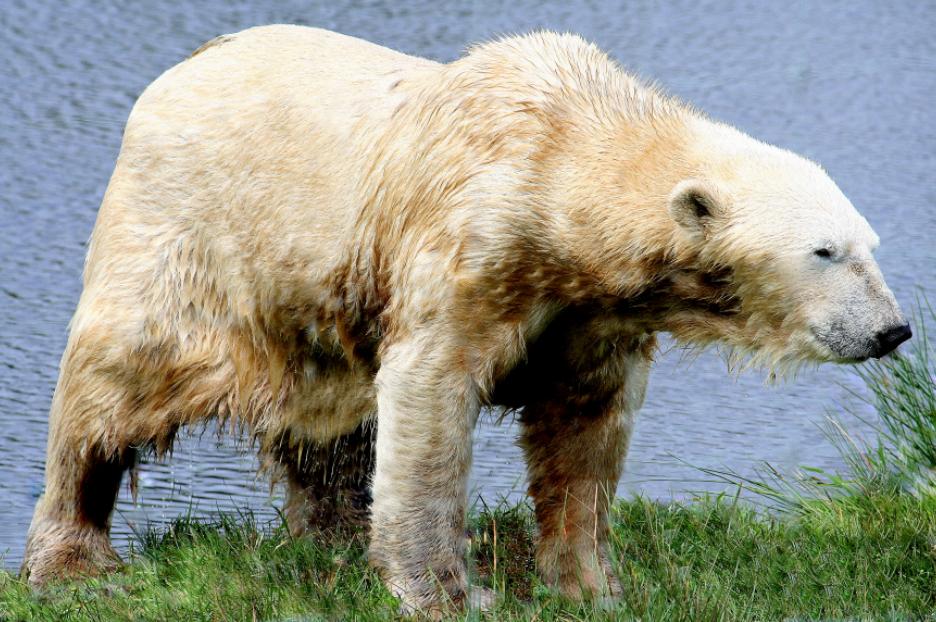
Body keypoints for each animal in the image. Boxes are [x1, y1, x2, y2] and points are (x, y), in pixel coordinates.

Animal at [22, 25, 910, 615]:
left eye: (870, 246)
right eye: (826, 251)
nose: (891, 330)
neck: (562, 154)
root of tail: (173, 75)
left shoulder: (591, 312)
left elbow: (584, 432)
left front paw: (589, 583)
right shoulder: (472, 249)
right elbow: (428, 399)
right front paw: (446, 591)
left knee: (327, 426)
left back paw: (332, 534)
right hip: (191, 242)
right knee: (113, 386)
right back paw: (73, 557)